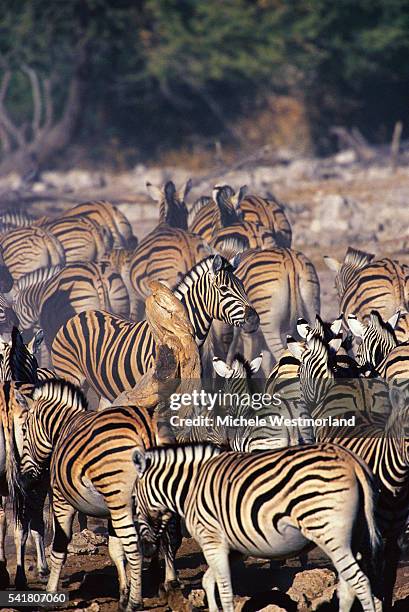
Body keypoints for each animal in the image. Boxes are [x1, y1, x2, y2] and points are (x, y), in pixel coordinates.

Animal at [15, 380, 166, 608]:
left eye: (24, 430)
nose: (25, 479)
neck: (63, 427)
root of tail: (144, 427)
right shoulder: (110, 510)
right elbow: (115, 550)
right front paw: (124, 591)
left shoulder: (61, 500)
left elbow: (59, 549)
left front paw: (50, 593)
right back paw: (162, 586)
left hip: (119, 498)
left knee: (135, 548)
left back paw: (136, 603)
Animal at [134, 442, 382, 612]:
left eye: (134, 501)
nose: (147, 549)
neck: (191, 487)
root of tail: (349, 458)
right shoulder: (235, 548)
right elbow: (207, 581)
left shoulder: (212, 541)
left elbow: (225, 590)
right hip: (351, 538)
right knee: (348, 587)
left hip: (330, 535)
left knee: (360, 582)